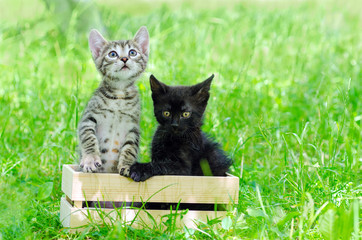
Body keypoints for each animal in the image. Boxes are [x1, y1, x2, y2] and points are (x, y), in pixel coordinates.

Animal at [78, 26, 148, 176]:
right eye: (112, 54)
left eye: (132, 52)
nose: (124, 58)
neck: (120, 95)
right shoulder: (88, 119)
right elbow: (89, 138)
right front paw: (90, 159)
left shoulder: (133, 127)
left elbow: (130, 148)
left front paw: (127, 165)